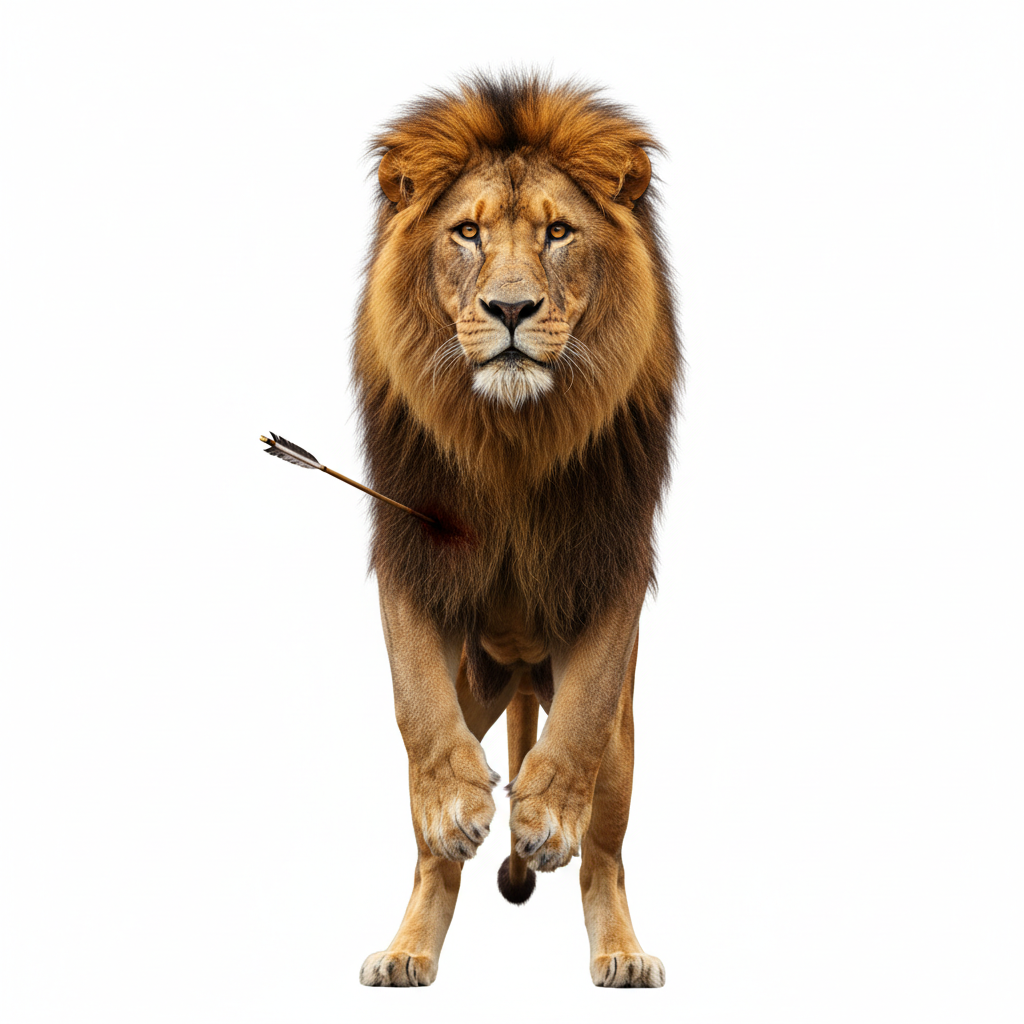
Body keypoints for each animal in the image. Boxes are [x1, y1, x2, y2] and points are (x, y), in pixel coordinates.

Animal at [353, 73, 680, 988]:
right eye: (467, 232)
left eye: (558, 231)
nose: (508, 308)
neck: (510, 436)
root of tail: (526, 673)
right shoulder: (411, 549)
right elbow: (417, 701)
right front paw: (456, 802)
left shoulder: (611, 560)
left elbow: (581, 723)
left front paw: (543, 817)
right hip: (479, 684)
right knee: (432, 855)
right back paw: (407, 949)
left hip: (622, 756)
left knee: (607, 856)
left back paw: (621, 951)